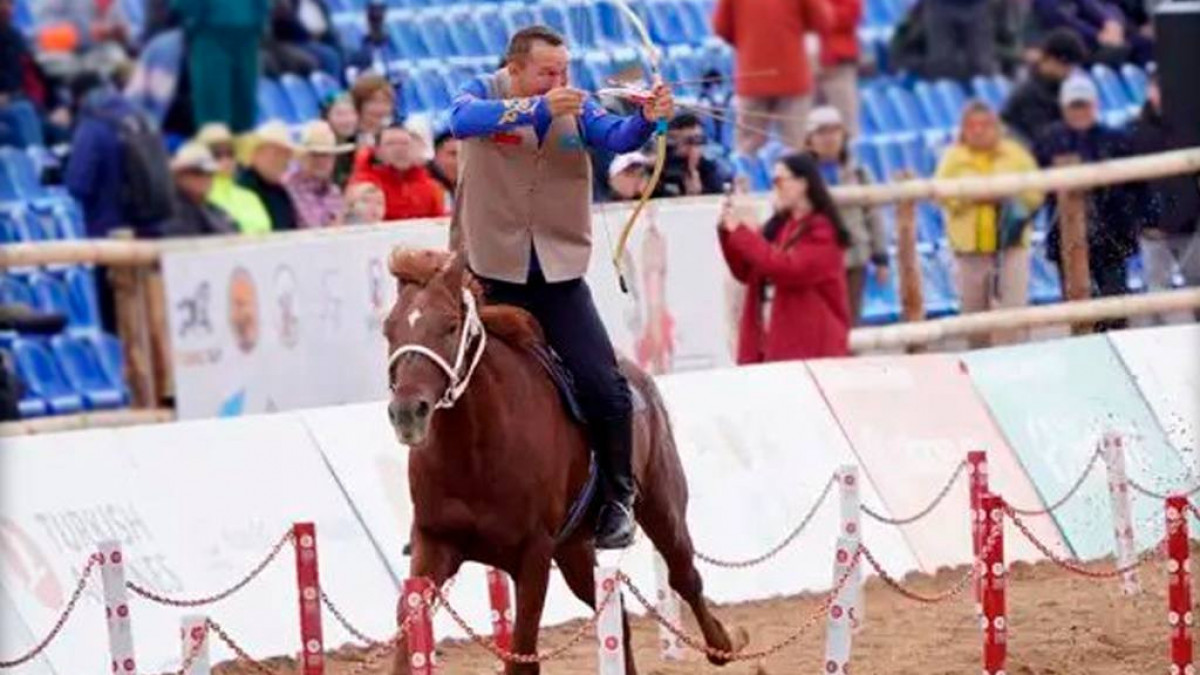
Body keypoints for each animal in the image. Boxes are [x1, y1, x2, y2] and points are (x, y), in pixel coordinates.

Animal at [381, 248, 739, 672]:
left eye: (450, 326)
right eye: (389, 330)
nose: (407, 412)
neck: (475, 452)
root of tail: (640, 379)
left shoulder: (534, 555)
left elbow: (522, 654)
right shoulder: (433, 544)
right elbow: (408, 630)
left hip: (662, 510)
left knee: (685, 576)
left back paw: (722, 646)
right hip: (573, 552)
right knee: (617, 613)